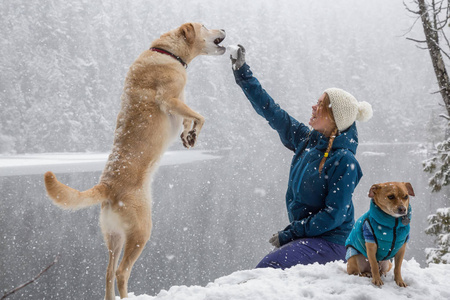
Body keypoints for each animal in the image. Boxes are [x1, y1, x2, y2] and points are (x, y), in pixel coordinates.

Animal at [43, 22, 225, 300]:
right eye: (205, 25)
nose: (224, 29)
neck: (167, 52)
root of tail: (106, 186)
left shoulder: (180, 101)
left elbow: (188, 118)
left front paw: (187, 136)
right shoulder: (170, 99)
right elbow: (200, 116)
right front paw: (193, 132)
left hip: (114, 236)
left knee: (108, 272)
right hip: (141, 232)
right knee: (121, 272)